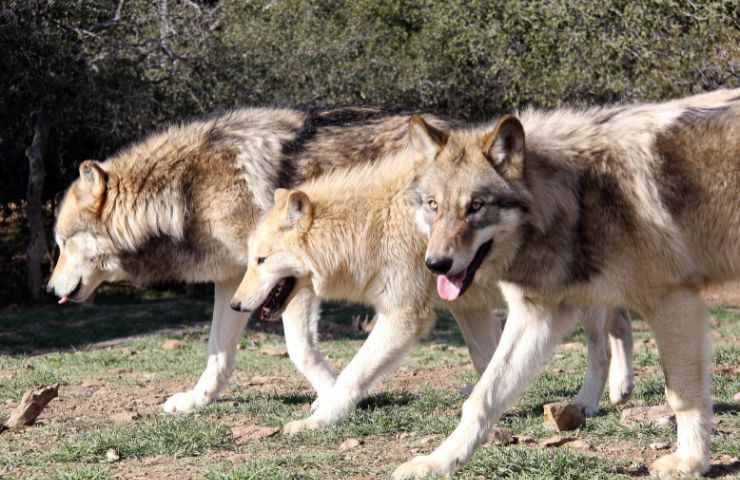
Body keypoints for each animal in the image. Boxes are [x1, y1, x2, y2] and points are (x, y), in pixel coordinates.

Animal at [229, 136, 634, 434]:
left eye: (260, 260)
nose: (234, 304)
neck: (372, 224)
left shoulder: (404, 317)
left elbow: (352, 376)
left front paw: (317, 420)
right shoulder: (468, 307)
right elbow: (488, 359)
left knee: (601, 348)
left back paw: (588, 402)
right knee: (622, 323)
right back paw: (621, 389)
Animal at [394, 88, 740, 479]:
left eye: (476, 206)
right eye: (433, 205)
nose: (436, 264)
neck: (577, 199)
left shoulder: (674, 301)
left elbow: (682, 394)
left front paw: (691, 462)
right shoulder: (536, 314)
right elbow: (483, 397)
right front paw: (438, 462)